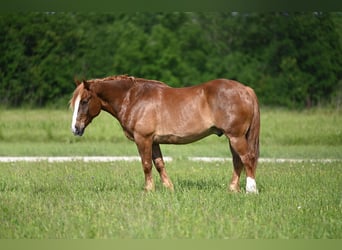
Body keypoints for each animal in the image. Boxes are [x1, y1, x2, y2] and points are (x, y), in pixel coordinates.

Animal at [70, 75, 262, 192]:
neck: (134, 98)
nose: (76, 129)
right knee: (237, 161)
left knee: (247, 159)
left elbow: (146, 164)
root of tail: (246, 89)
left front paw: (148, 190)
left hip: (235, 136)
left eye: (85, 101)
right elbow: (159, 164)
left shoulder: (143, 139)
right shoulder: (153, 141)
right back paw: (233, 189)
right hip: (233, 137)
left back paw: (251, 190)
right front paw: (169, 188)